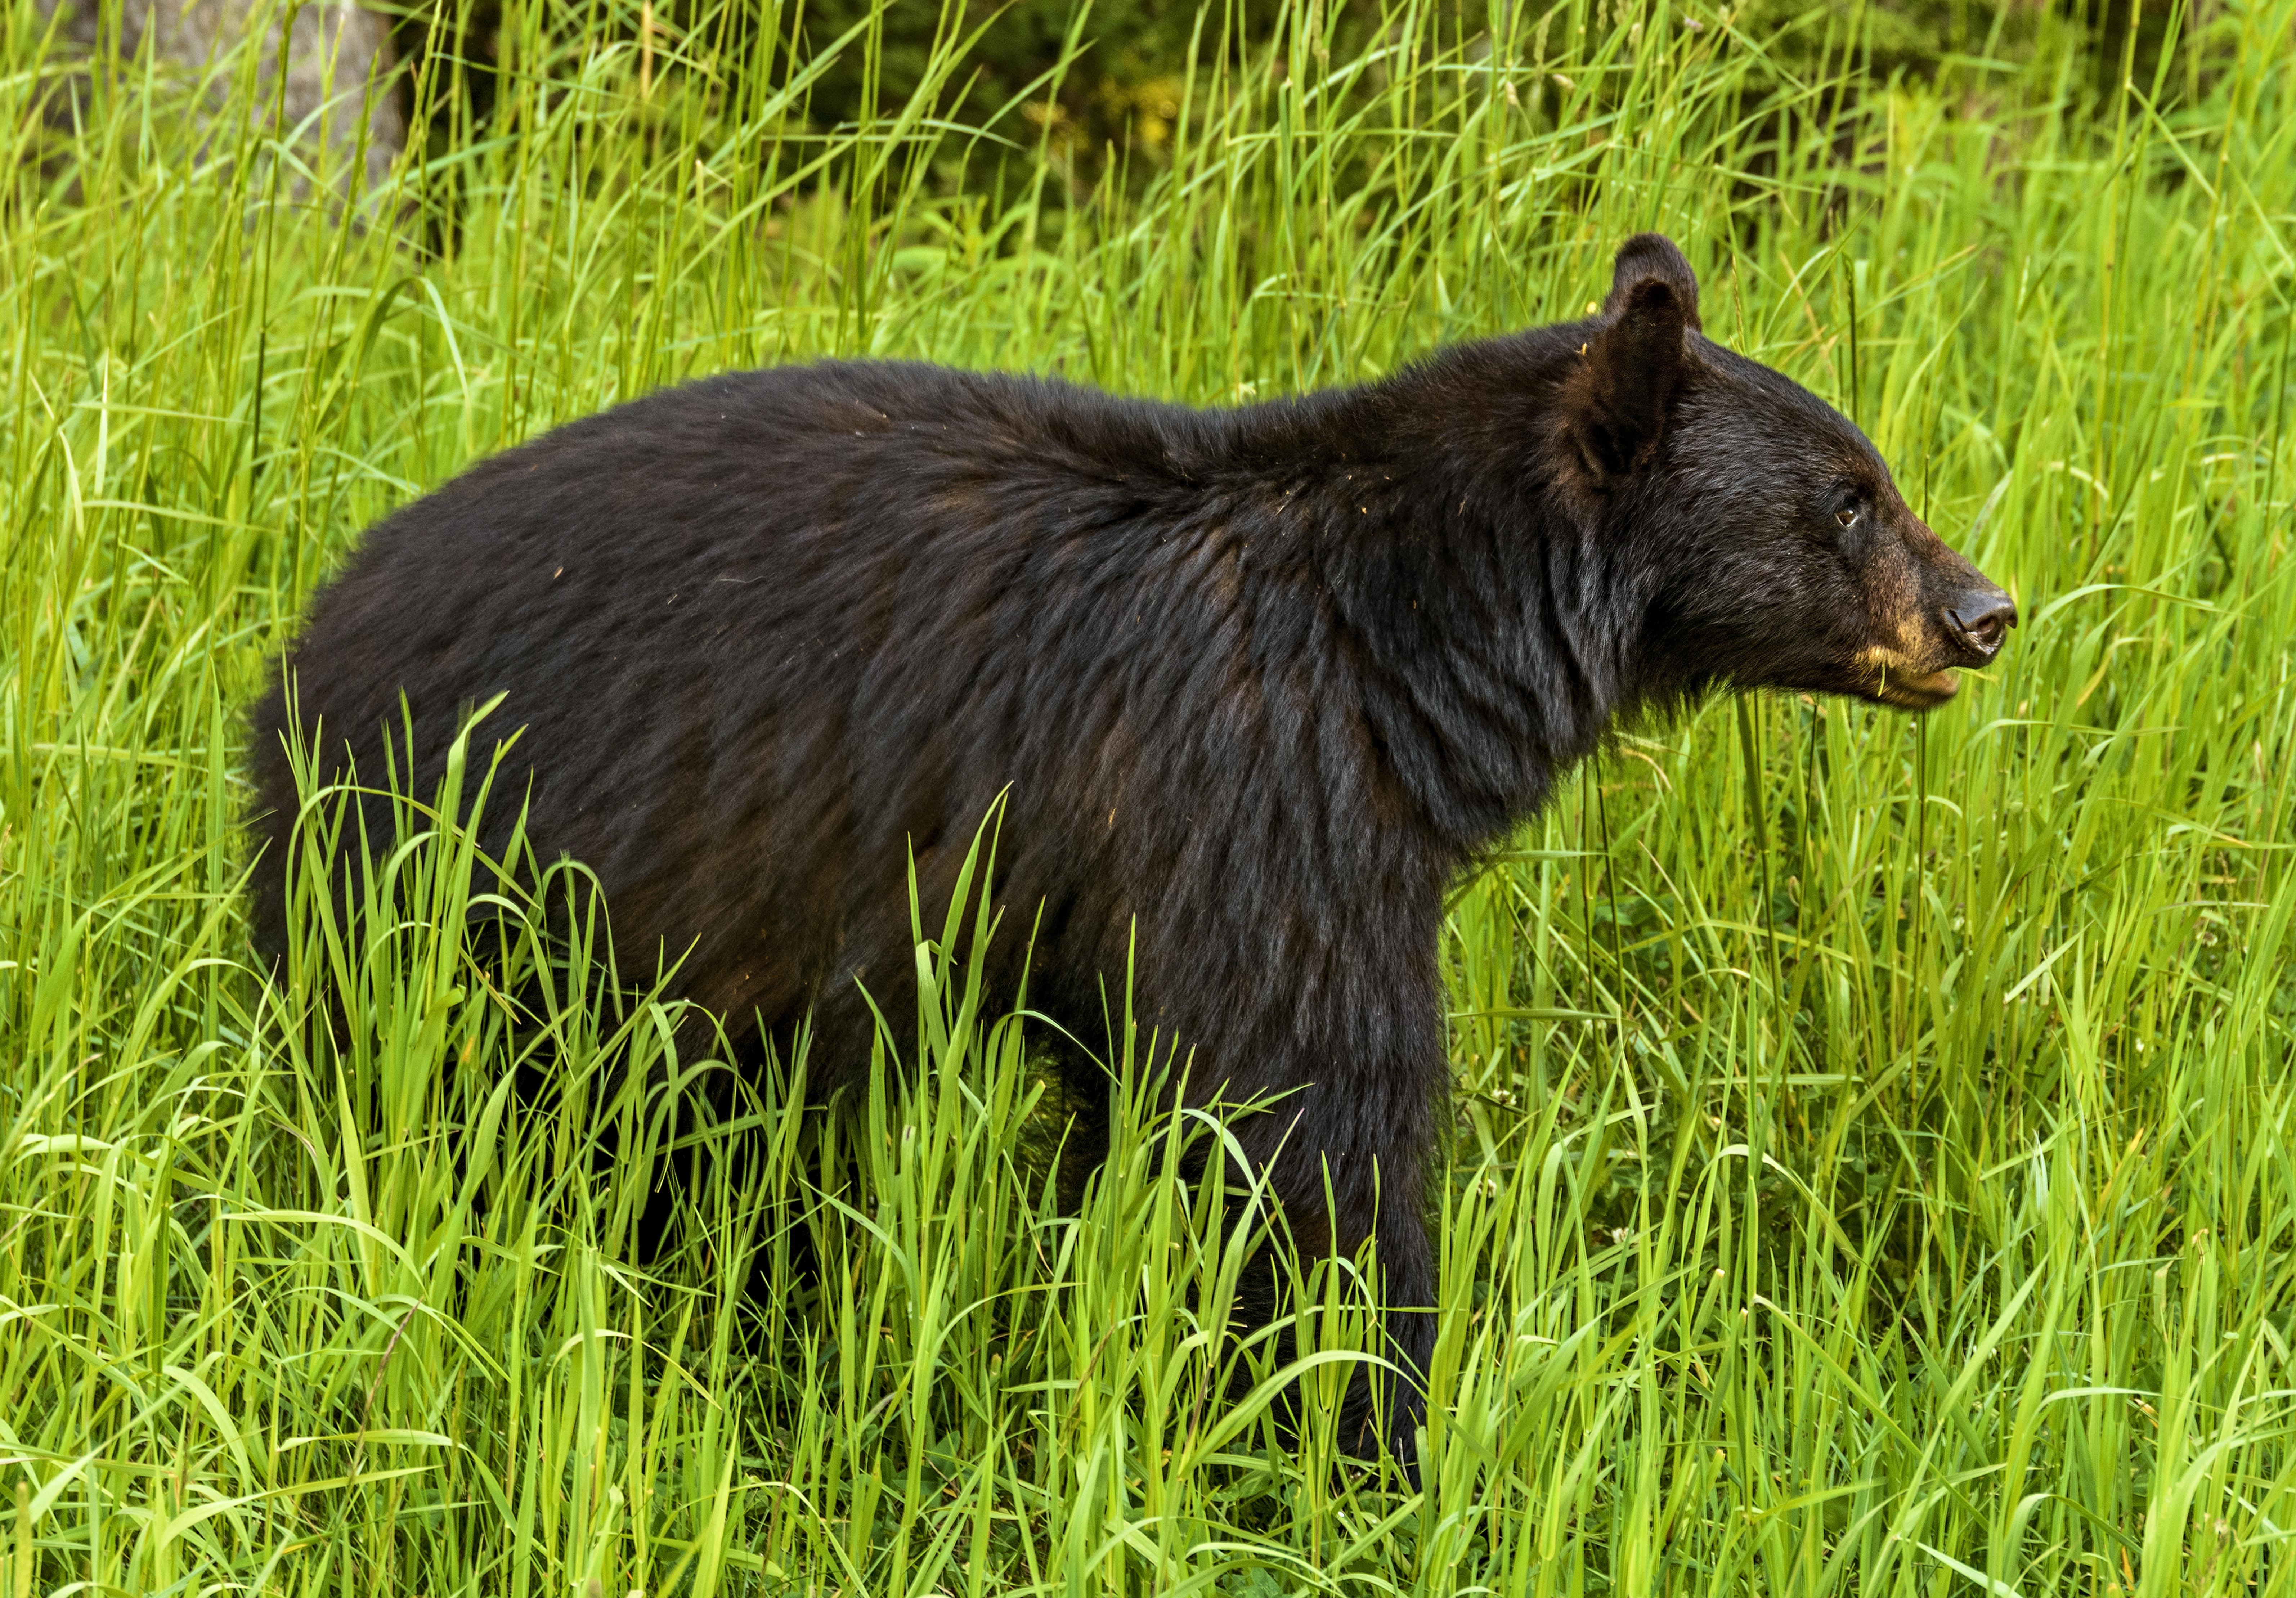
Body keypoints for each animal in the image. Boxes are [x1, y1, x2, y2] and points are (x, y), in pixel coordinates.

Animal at [247, 230, 2011, 1469]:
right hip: (467, 876)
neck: (1399, 640)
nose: (1982, 612)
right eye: (1849, 499)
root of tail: (299, 651)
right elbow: (1310, 1145)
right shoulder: (1261, 794)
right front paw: (1367, 1439)